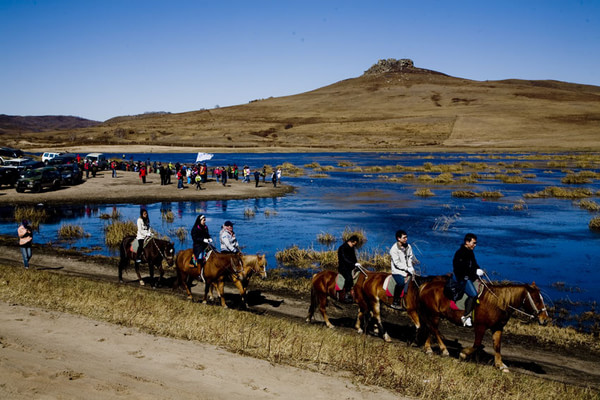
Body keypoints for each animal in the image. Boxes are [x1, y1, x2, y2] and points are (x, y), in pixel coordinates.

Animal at [418, 280, 548, 370]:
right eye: (537, 300)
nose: (545, 319)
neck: (497, 303)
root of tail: (426, 285)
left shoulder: (497, 328)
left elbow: (497, 346)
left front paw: (500, 365)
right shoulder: (480, 326)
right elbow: (477, 344)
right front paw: (463, 353)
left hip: (435, 315)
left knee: (431, 329)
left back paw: (428, 348)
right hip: (434, 314)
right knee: (434, 329)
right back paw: (444, 350)